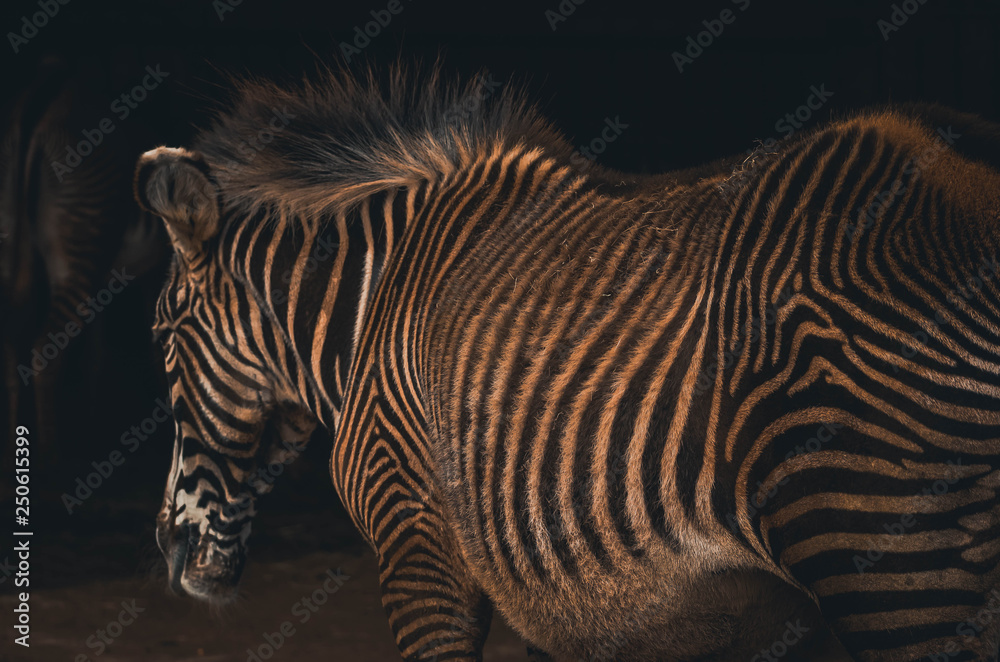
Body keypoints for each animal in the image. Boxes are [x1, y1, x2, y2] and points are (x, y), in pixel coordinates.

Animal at [136, 66, 1000, 661]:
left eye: (163, 335)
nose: (167, 551)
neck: (368, 312)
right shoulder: (559, 596)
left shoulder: (415, 533)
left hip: (880, 546)